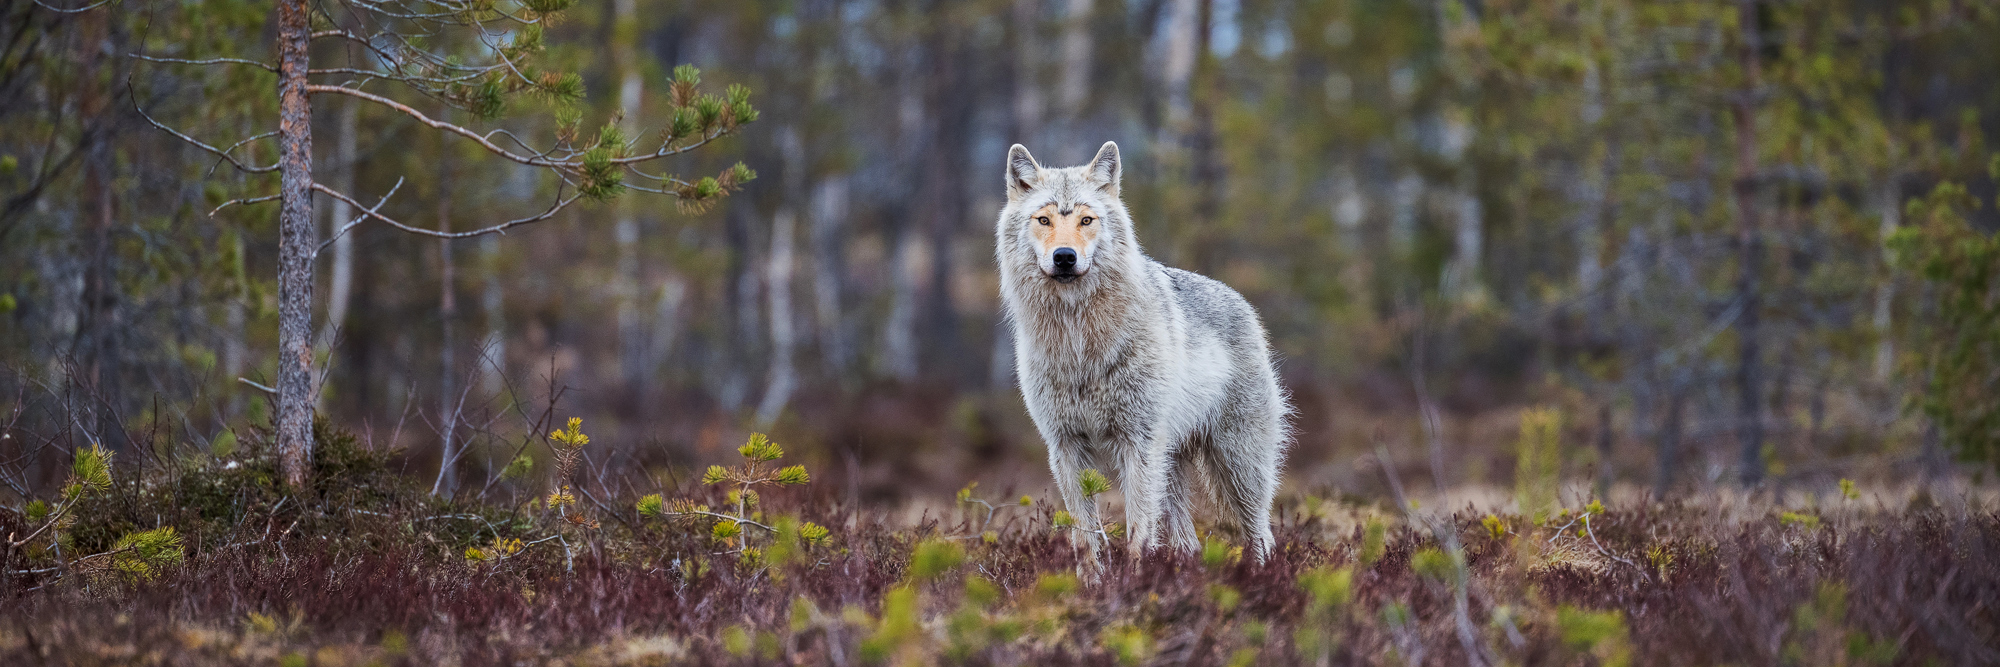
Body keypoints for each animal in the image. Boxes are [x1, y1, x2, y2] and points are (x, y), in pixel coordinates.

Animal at [992, 140, 1288, 559]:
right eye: (1044, 220)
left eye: (1086, 220)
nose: (1064, 256)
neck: (1079, 343)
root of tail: (1241, 300)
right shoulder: (1065, 446)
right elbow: (1086, 539)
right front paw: (1096, 577)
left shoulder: (1139, 443)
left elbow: (1138, 533)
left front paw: (1134, 575)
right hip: (1173, 467)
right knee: (1188, 540)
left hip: (1237, 464)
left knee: (1261, 532)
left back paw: (1263, 571)